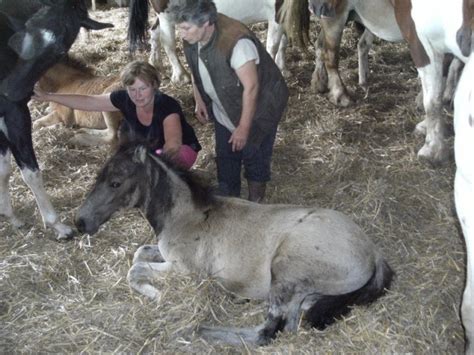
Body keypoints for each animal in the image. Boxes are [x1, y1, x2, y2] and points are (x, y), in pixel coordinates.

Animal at [0, 0, 112, 241]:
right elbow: (28, 172)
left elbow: (8, 169)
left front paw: (10, 215)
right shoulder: (14, 112)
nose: (9, 91)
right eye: (24, 33)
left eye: (60, 50)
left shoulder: (10, 112)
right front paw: (58, 226)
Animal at [74, 145, 392, 348]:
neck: (186, 215)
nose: (80, 222)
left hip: (285, 272)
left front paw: (155, 294)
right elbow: (139, 253)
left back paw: (203, 329)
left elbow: (136, 269)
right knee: (292, 324)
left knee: (268, 331)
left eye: (115, 182)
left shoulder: (185, 271)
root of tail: (374, 252)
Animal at [127, 0, 312, 83]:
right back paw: (181, 75)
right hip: (165, 12)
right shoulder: (277, 11)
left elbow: (283, 42)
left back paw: (155, 62)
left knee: (154, 32)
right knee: (168, 42)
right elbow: (273, 45)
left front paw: (283, 68)